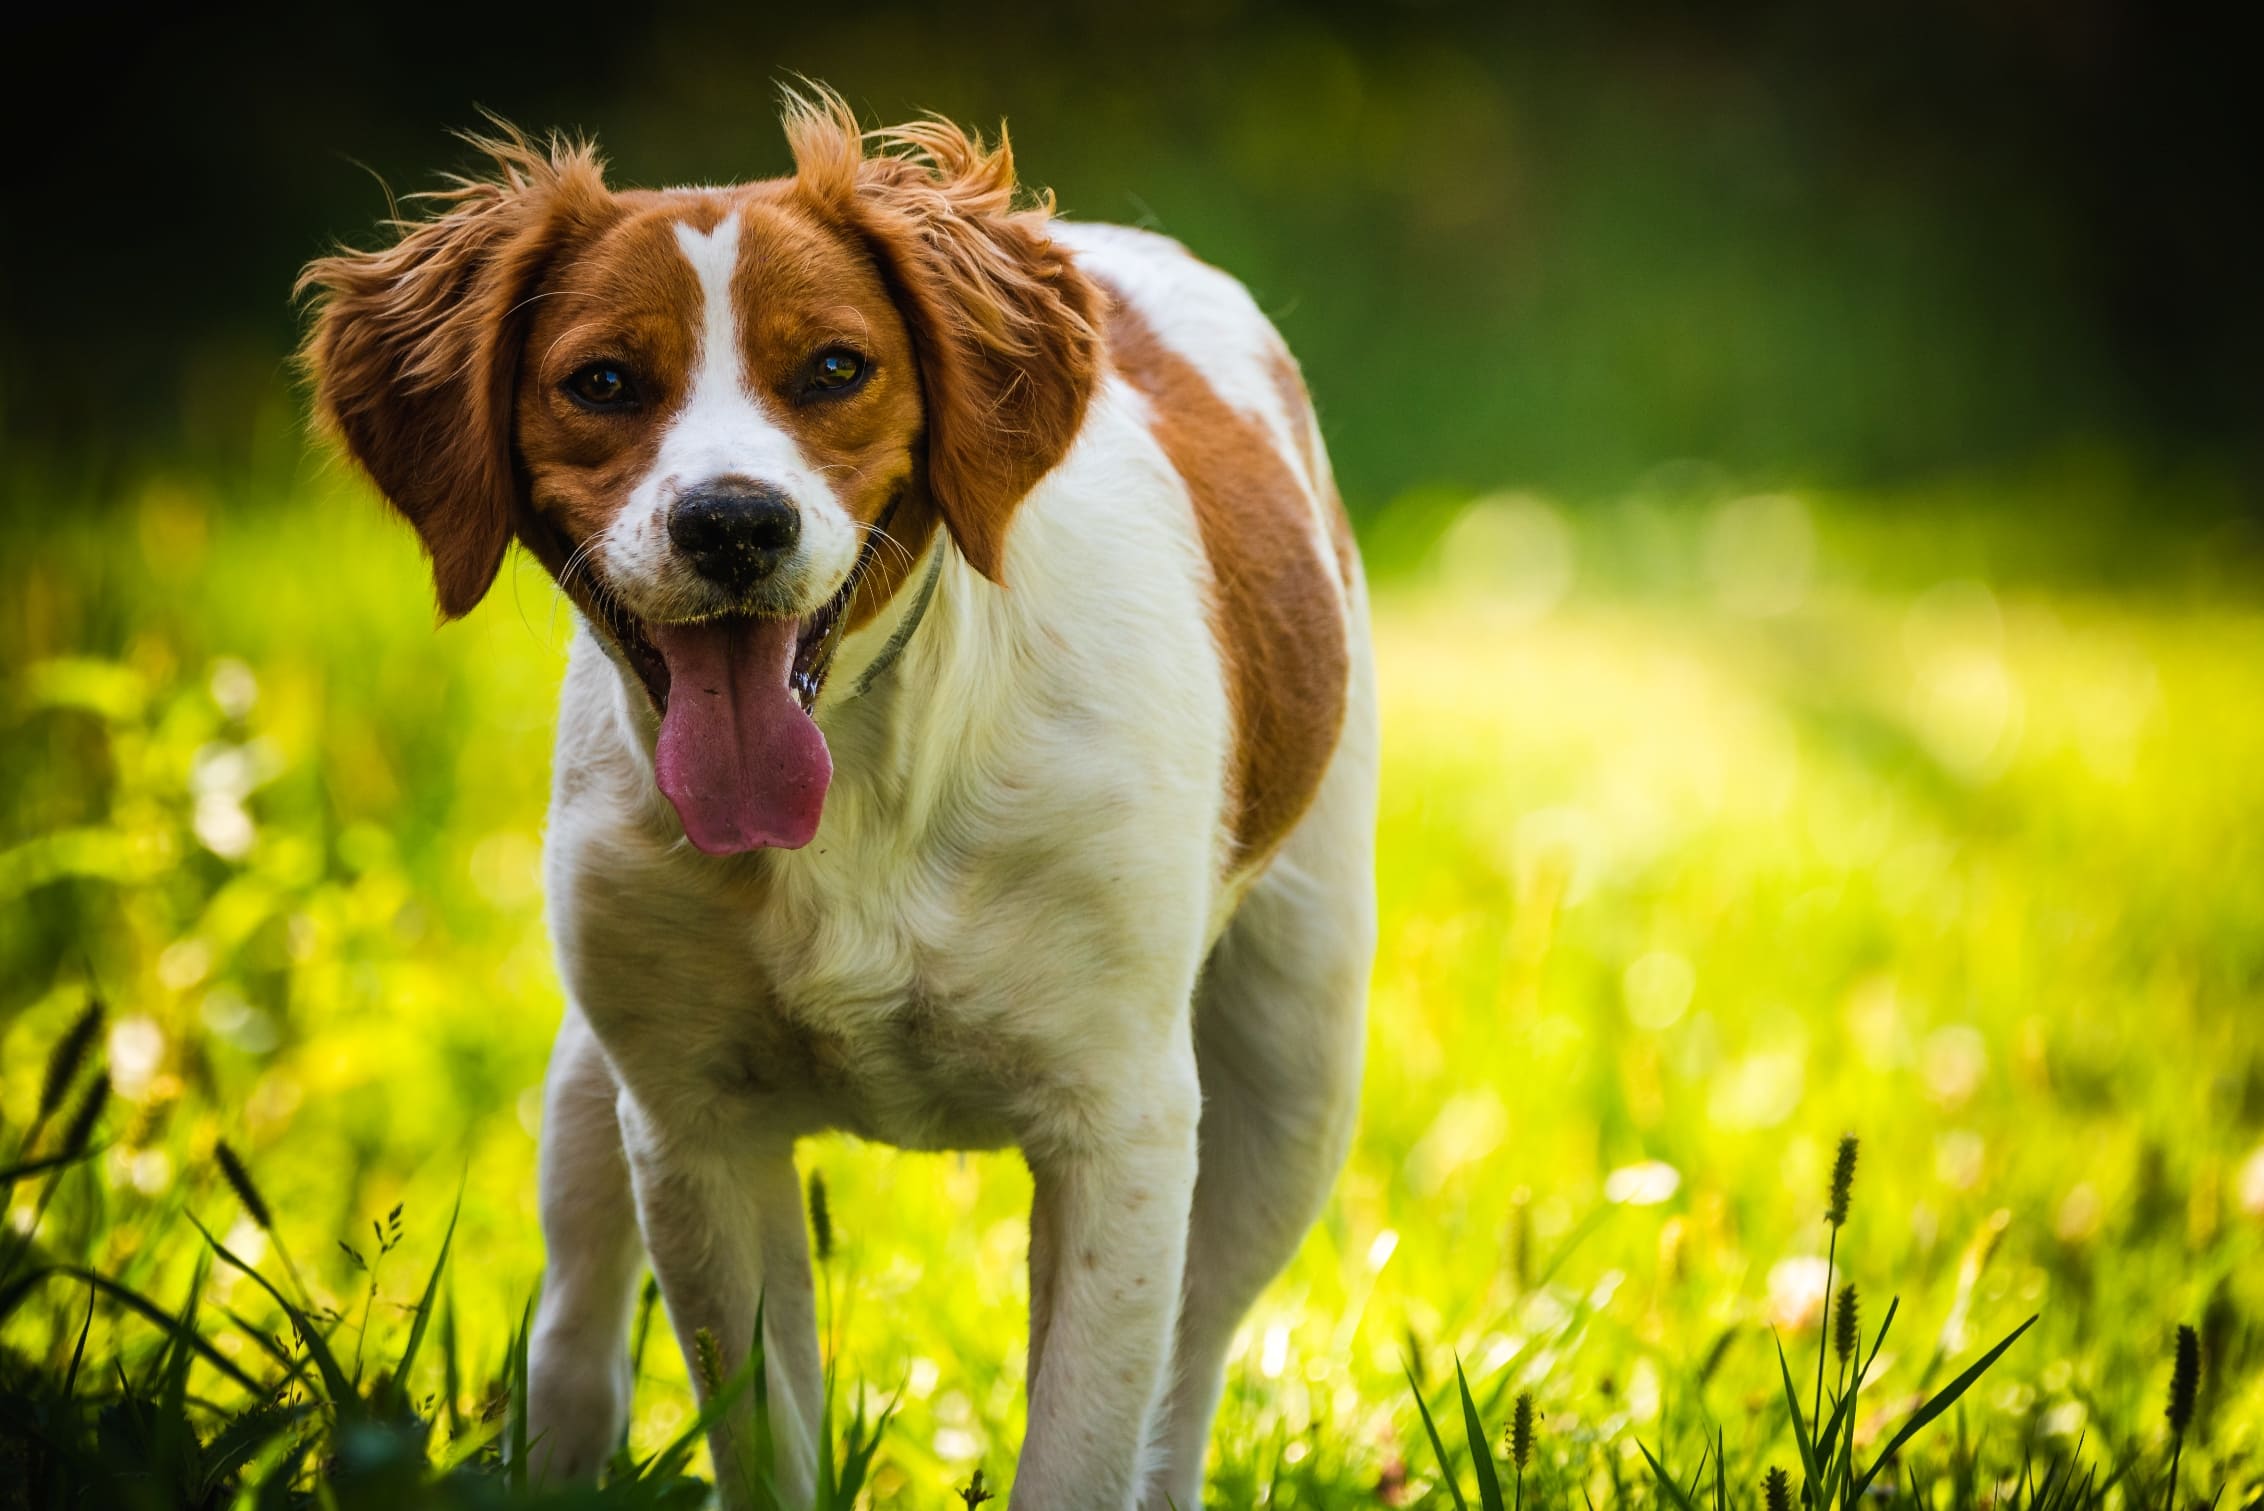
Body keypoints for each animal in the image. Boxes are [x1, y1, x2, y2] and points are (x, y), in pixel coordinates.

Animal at [301, 91, 1376, 1511]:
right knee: (576, 1317)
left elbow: (1085, 1443)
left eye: (831, 368)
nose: (732, 523)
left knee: (1187, 1371)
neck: (867, 776)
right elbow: (762, 1431)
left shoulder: (1122, 1123)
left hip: (1291, 1067)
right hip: (595, 1077)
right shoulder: (692, 1127)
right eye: (602, 382)